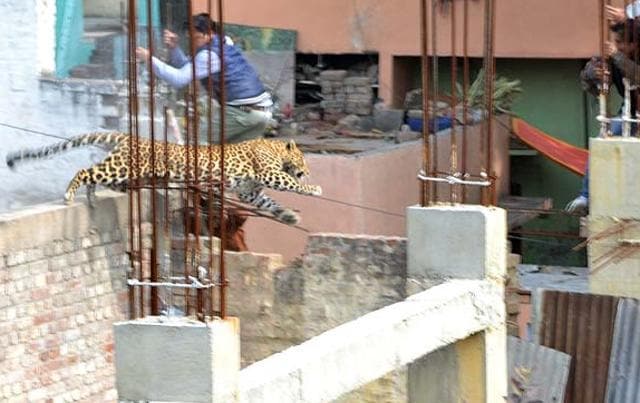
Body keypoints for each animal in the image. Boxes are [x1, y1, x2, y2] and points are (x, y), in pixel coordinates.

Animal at [6, 133, 322, 225]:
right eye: (304, 160)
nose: (308, 169)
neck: (275, 148)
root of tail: (128, 136)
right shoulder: (270, 173)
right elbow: (292, 184)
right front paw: (314, 188)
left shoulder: (249, 192)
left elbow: (269, 203)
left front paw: (288, 216)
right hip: (123, 166)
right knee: (85, 171)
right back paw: (70, 194)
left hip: (122, 170)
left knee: (96, 174)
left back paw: (93, 198)